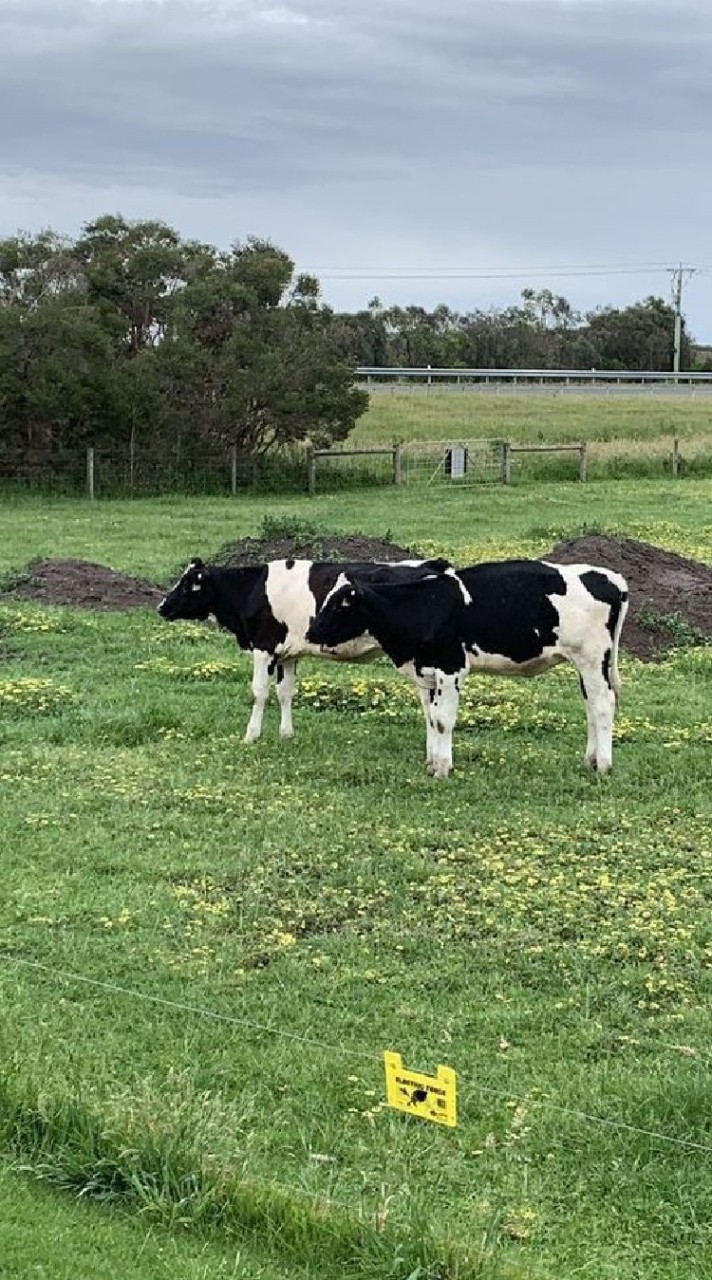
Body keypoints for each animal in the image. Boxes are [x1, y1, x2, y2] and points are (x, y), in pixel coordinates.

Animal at [159, 555, 450, 747]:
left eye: (188, 584)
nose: (162, 607)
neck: (253, 589)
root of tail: (434, 564)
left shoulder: (263, 647)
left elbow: (259, 692)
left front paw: (251, 735)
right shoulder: (289, 653)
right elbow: (285, 692)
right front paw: (286, 734)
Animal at [306, 563, 627, 778]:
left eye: (340, 604)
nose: (310, 632)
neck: (426, 606)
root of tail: (612, 577)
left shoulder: (451, 669)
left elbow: (443, 720)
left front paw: (442, 768)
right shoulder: (427, 673)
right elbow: (431, 717)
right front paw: (433, 763)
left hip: (593, 658)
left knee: (602, 706)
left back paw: (604, 765)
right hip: (586, 665)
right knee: (591, 707)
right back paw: (590, 761)